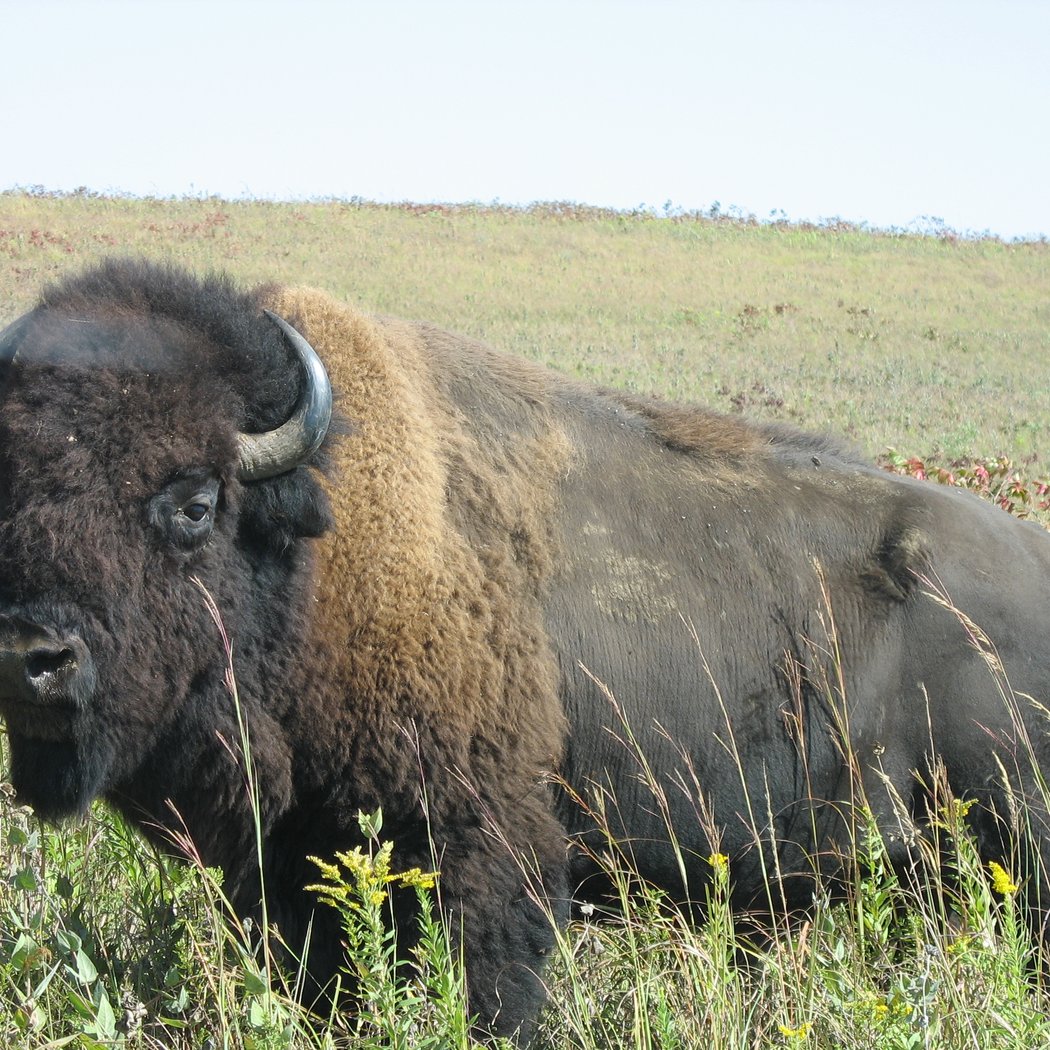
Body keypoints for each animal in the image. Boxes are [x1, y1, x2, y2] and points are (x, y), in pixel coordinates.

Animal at [1, 258, 1049, 1042]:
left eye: (192, 501)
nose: (30, 657)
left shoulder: (482, 840)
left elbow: (490, 985)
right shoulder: (295, 865)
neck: (313, 547)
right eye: (7, 497)